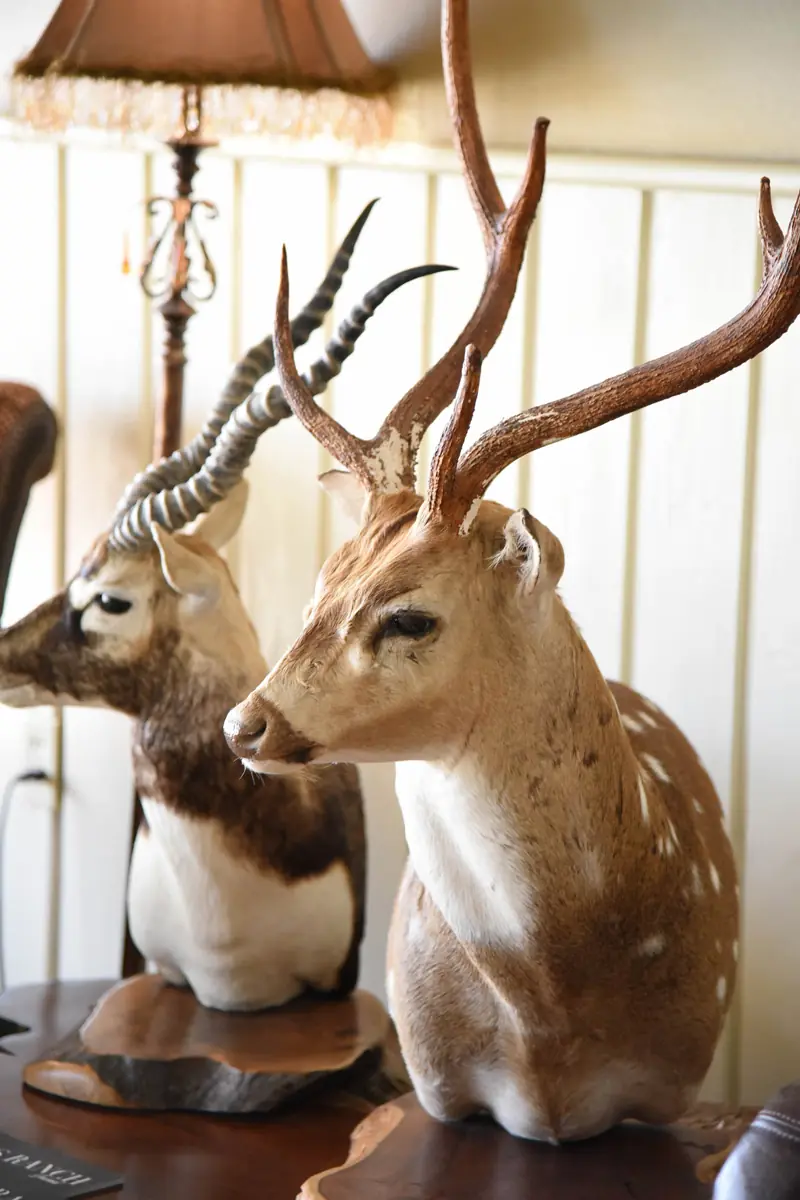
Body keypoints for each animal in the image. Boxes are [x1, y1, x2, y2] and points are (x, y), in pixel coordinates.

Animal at [222, 0, 800, 1138]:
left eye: (410, 616)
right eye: (320, 582)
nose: (244, 724)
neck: (550, 1019)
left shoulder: (672, 1090)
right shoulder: (437, 1090)